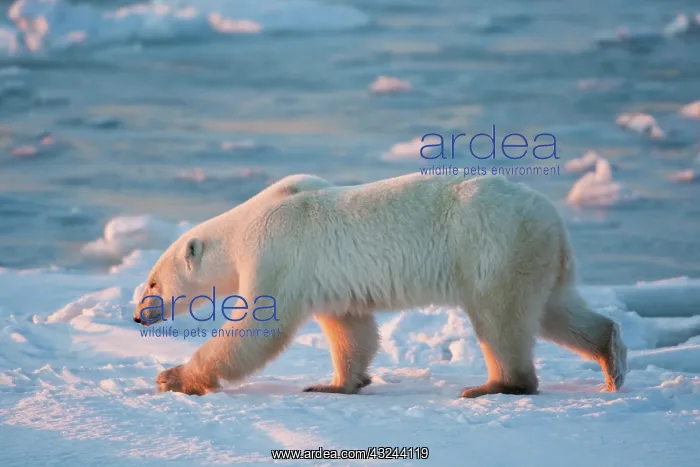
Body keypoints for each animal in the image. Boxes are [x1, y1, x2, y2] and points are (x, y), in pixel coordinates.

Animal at [134, 172, 627, 398]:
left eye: (153, 283)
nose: (139, 315)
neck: (244, 227)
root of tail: (553, 219)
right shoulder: (325, 279)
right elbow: (350, 328)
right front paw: (336, 384)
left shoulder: (277, 253)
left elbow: (257, 328)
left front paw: (172, 376)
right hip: (534, 255)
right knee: (555, 310)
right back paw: (611, 356)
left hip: (493, 246)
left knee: (500, 318)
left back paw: (494, 385)